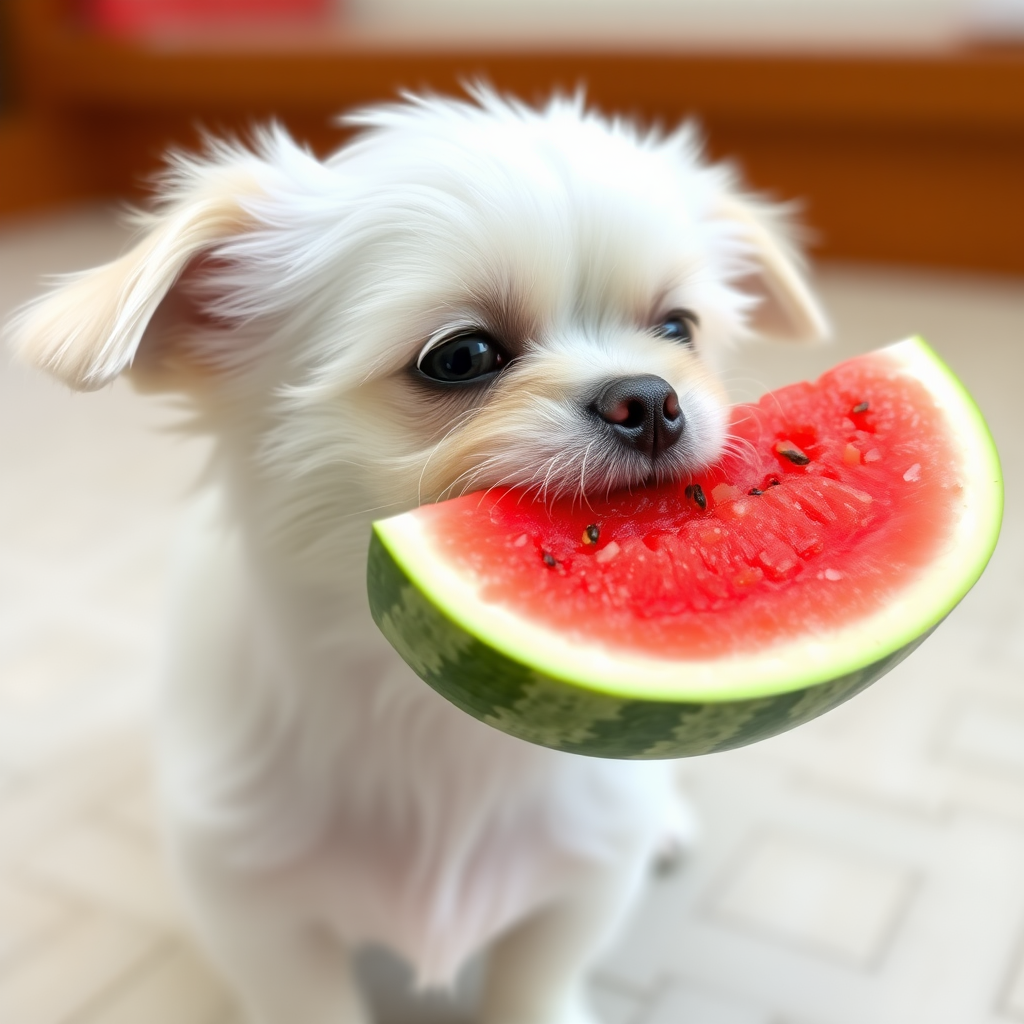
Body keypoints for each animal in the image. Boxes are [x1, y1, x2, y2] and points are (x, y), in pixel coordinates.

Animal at [12, 92, 827, 1019]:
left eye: (677, 329)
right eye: (462, 356)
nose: (651, 397)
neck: (433, 718)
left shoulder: (580, 878)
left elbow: (535, 984)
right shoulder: (250, 902)